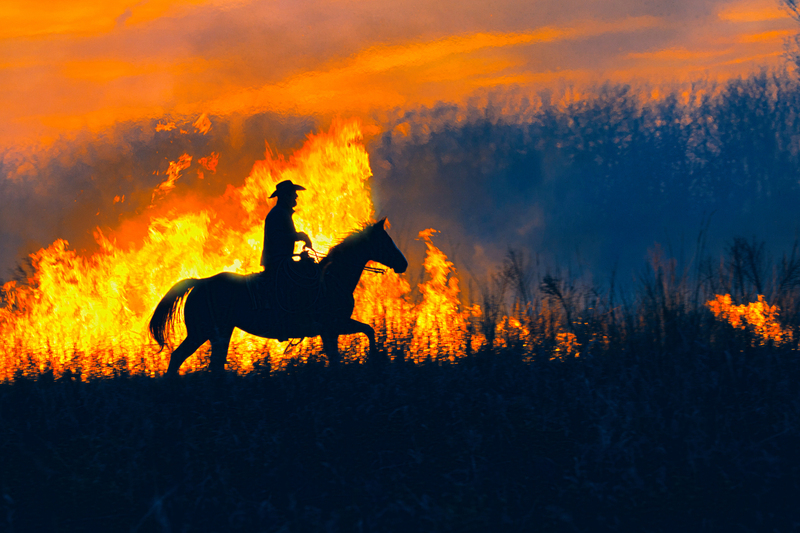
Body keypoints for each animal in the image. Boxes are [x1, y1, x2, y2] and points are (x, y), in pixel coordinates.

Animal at [149, 218, 408, 376]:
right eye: (385, 241)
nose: (403, 264)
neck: (332, 279)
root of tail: (200, 283)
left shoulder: (335, 327)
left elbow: (366, 332)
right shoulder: (332, 326)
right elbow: (355, 342)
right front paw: (374, 360)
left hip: (217, 333)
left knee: (210, 364)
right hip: (203, 332)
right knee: (179, 357)